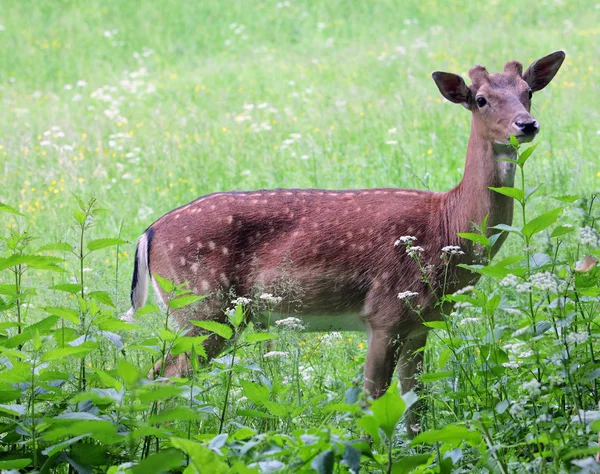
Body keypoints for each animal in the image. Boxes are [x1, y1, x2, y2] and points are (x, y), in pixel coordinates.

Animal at [124, 51, 564, 434]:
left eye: (528, 91)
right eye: (481, 99)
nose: (527, 124)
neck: (448, 226)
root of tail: (148, 232)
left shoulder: (421, 323)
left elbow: (416, 407)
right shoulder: (385, 313)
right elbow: (372, 403)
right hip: (202, 305)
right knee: (160, 377)